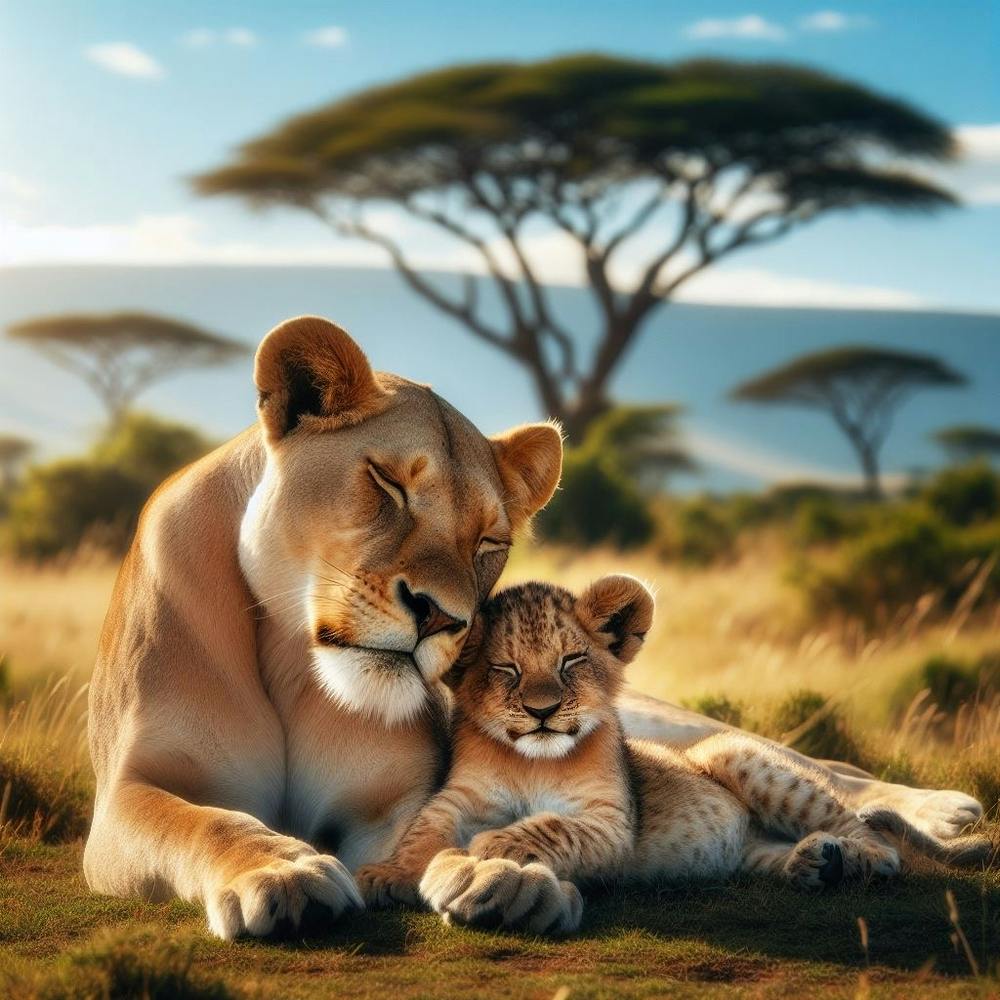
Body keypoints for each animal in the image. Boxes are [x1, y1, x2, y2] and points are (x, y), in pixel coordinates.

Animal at [84, 315, 984, 939]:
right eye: (386, 485)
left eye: (491, 543)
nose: (441, 617)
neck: (287, 649)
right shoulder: (127, 794)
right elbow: (205, 820)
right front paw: (282, 873)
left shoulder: (400, 798)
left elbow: (462, 835)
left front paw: (518, 880)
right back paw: (821, 857)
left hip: (677, 726)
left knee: (822, 767)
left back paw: (941, 820)